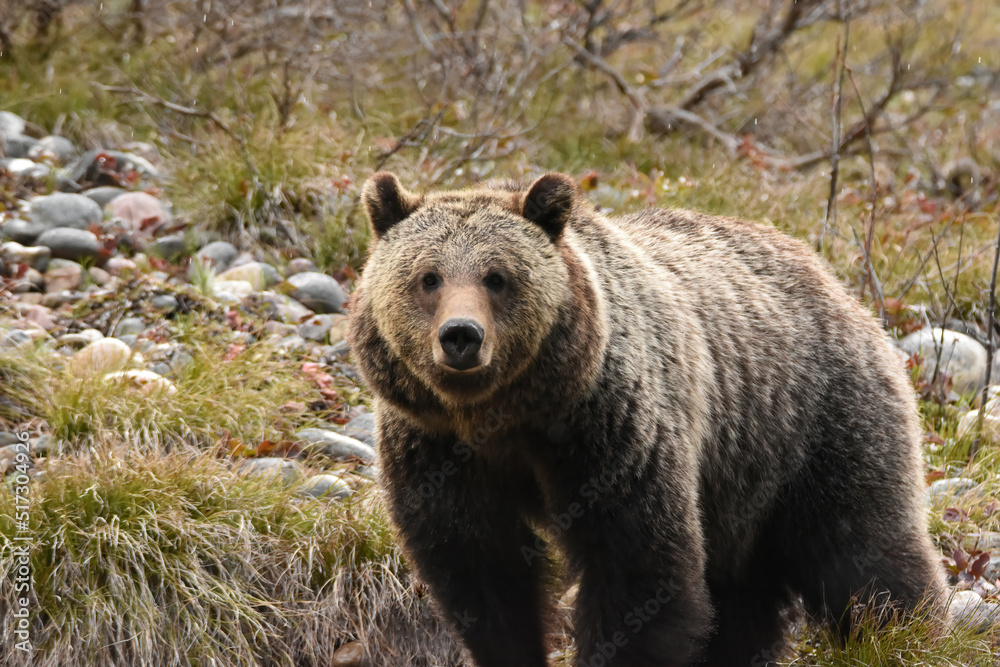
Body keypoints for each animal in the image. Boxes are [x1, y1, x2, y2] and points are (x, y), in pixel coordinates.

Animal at [350, 174, 944, 667]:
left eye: (498, 277)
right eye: (428, 276)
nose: (461, 336)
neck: (504, 418)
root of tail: (834, 281)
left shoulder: (611, 431)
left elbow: (638, 570)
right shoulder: (437, 451)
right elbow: (481, 572)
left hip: (815, 419)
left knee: (860, 547)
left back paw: (905, 636)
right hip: (742, 478)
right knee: (742, 591)